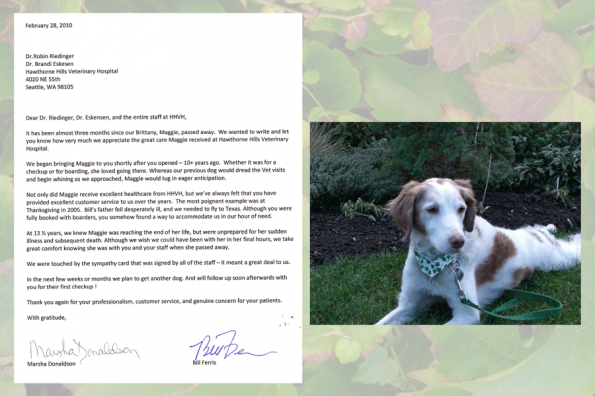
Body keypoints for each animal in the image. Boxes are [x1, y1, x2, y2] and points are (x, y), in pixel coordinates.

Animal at [378, 178, 584, 324]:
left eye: (461, 208)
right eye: (432, 209)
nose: (458, 242)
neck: (433, 263)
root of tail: (539, 235)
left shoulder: (467, 313)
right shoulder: (409, 304)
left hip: (560, 259)